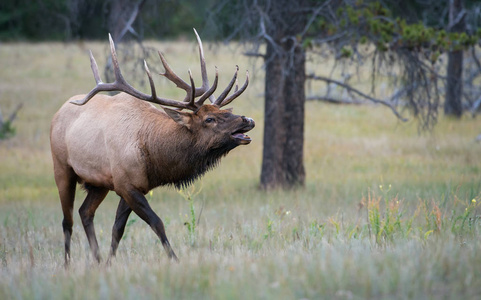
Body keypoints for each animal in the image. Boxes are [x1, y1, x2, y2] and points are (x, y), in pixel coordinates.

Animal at [50, 29, 255, 264]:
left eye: (224, 112)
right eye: (209, 119)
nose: (248, 120)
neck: (154, 157)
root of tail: (57, 114)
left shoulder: (132, 185)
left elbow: (117, 229)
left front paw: (109, 264)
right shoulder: (126, 185)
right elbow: (157, 223)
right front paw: (174, 259)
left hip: (98, 183)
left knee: (85, 212)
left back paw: (98, 260)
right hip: (62, 168)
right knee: (67, 221)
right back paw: (67, 264)